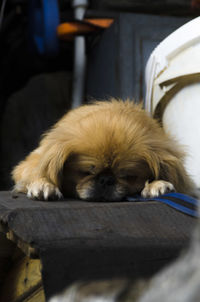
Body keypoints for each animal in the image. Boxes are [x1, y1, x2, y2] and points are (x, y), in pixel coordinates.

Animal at [10, 99, 195, 202]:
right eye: (85, 173)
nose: (106, 180)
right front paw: (44, 185)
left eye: (129, 177)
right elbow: (38, 172)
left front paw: (157, 185)